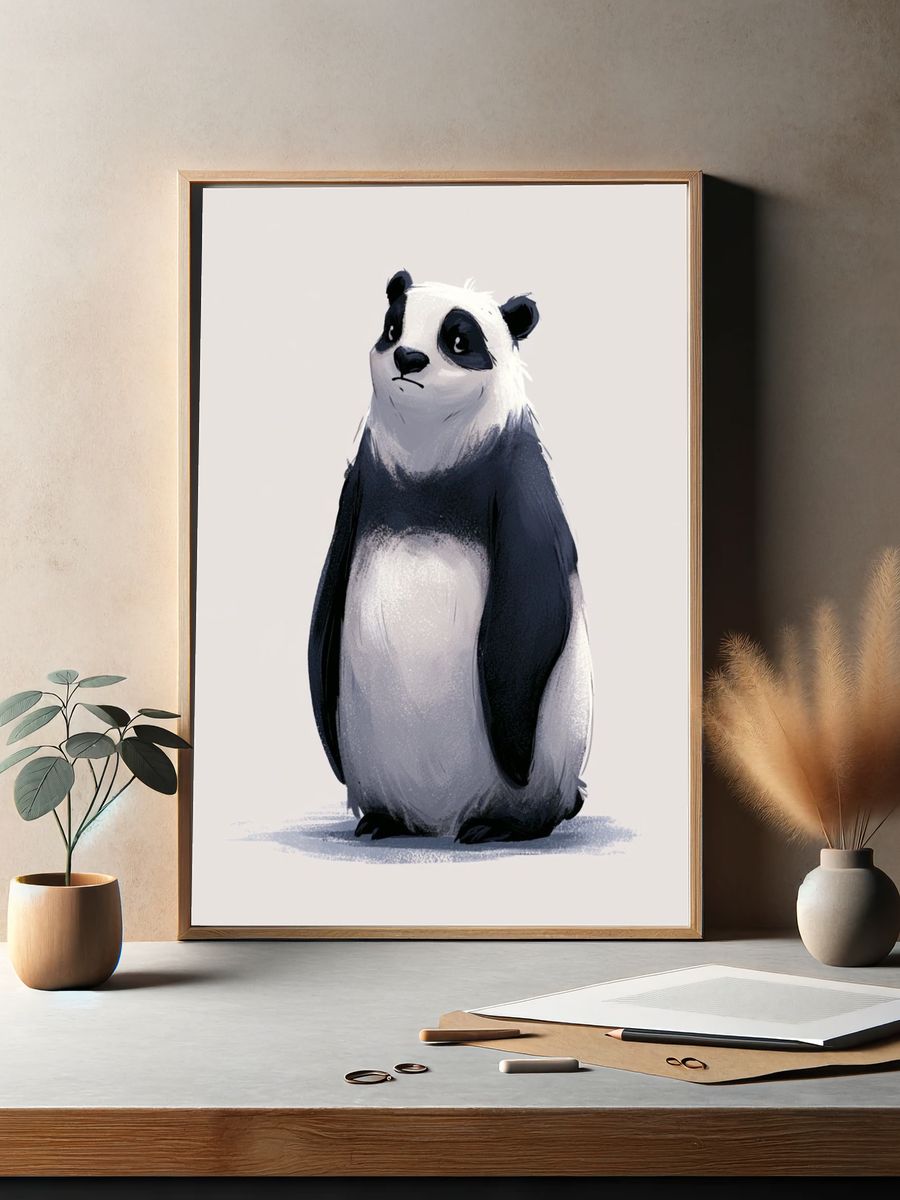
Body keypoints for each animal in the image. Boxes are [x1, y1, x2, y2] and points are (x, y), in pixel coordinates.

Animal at [308, 270, 592, 843]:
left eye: (458, 341)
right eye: (393, 328)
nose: (408, 358)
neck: (429, 456)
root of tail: (440, 820)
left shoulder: (519, 479)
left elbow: (530, 610)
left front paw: (512, 752)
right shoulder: (361, 482)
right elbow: (325, 604)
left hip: (555, 752)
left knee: (536, 799)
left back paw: (500, 825)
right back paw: (383, 819)